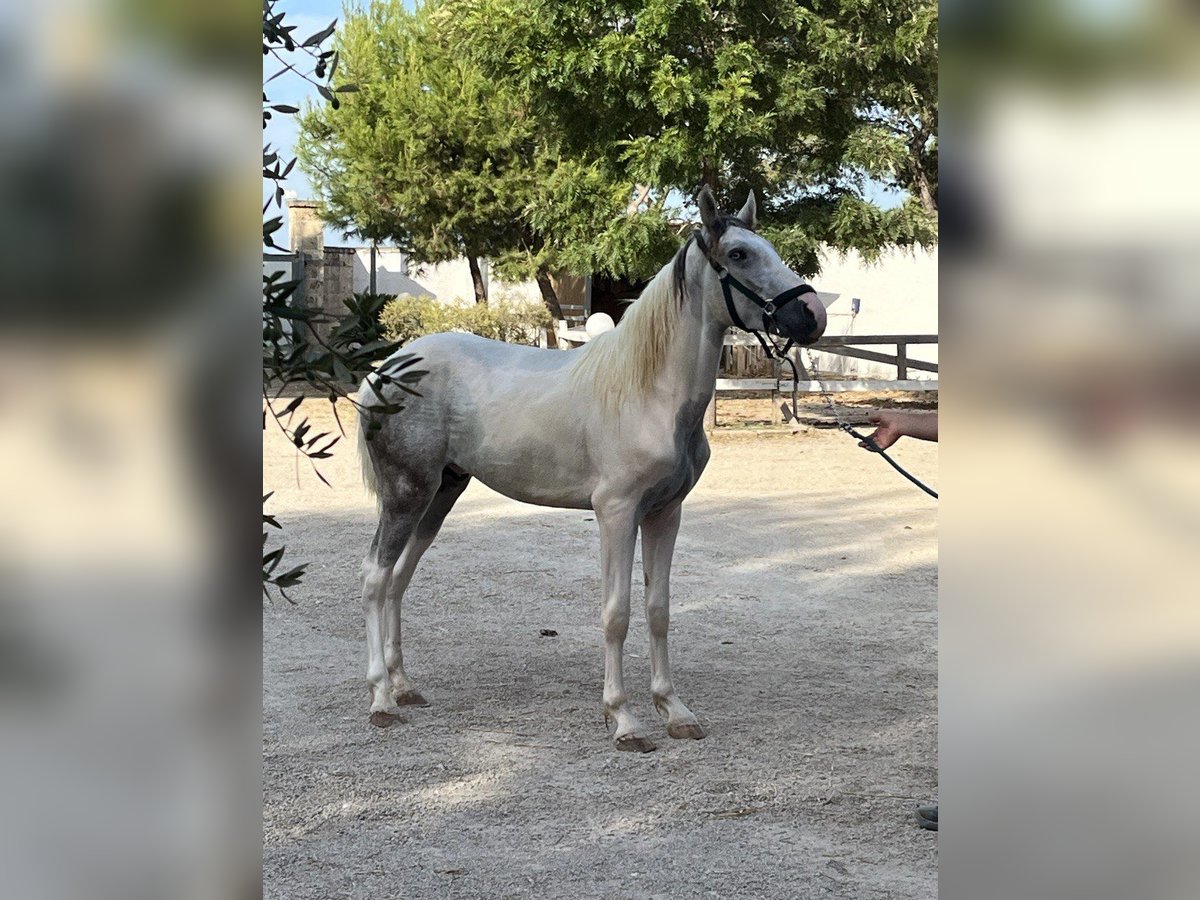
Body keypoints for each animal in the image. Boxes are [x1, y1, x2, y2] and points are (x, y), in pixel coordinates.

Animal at [355, 190, 825, 753]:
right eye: (738, 254)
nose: (812, 314)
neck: (648, 391)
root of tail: (389, 367)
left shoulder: (665, 513)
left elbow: (658, 609)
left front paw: (674, 710)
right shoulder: (616, 513)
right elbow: (616, 614)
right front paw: (623, 720)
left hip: (440, 494)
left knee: (399, 578)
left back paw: (404, 686)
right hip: (406, 494)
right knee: (376, 578)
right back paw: (381, 699)